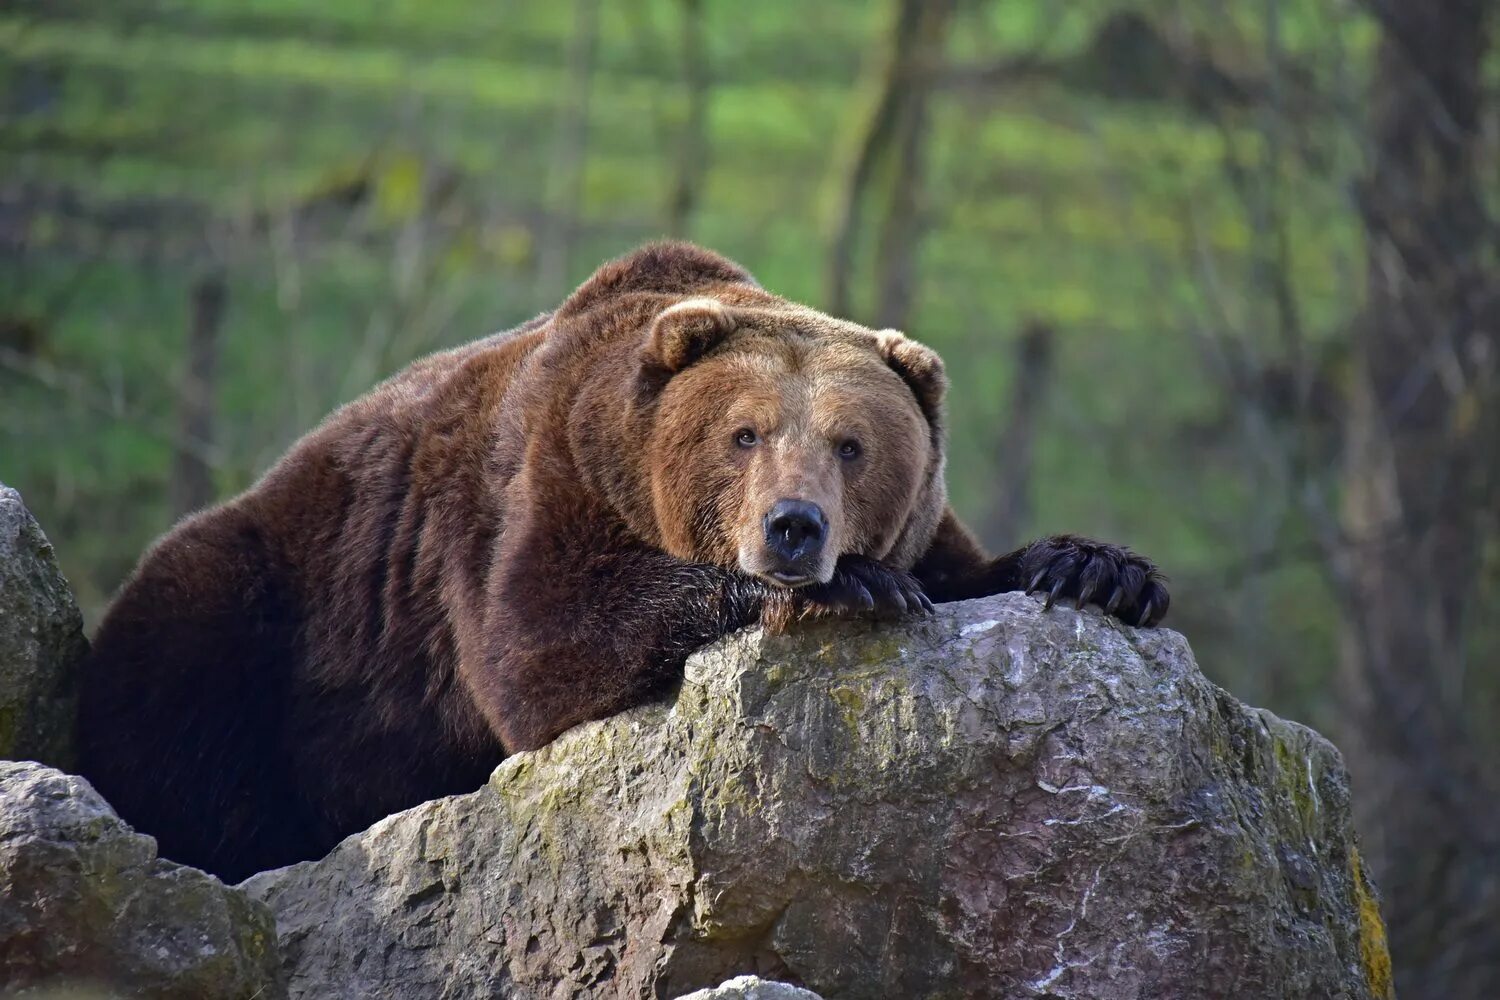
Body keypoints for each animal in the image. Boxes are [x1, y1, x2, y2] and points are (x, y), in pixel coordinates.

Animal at [76, 244, 1164, 881]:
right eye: (743, 432)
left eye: (853, 444)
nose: (796, 528)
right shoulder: (539, 483)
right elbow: (539, 646)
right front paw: (852, 585)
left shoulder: (920, 520)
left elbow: (973, 566)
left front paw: (1098, 568)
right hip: (266, 606)